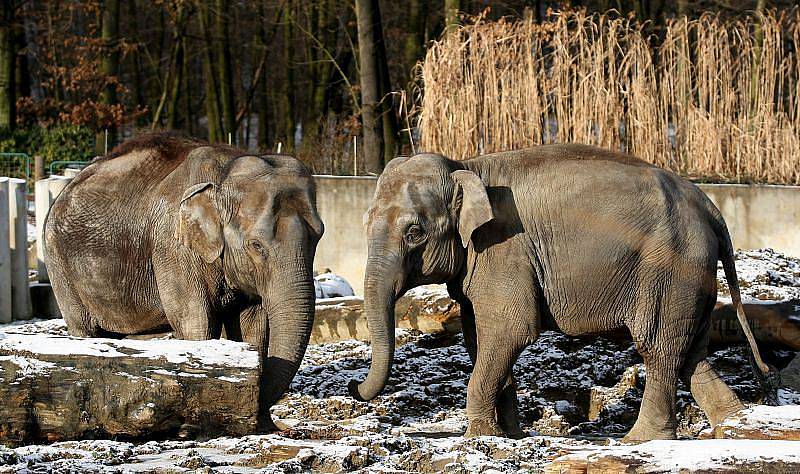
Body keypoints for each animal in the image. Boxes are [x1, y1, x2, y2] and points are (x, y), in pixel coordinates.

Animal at [43, 131, 324, 428]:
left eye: (318, 235)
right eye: (256, 245)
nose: (259, 413)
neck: (225, 171)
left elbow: (254, 328)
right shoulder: (172, 247)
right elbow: (196, 323)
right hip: (59, 264)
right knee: (84, 327)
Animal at [348, 143, 768, 440]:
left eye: (414, 232)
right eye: (365, 223)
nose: (353, 386)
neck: (466, 165)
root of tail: (709, 206)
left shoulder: (504, 250)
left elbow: (510, 329)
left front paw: (479, 437)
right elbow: (479, 338)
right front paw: (510, 435)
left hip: (670, 266)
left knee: (658, 347)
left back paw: (641, 440)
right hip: (691, 275)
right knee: (691, 352)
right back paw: (733, 425)